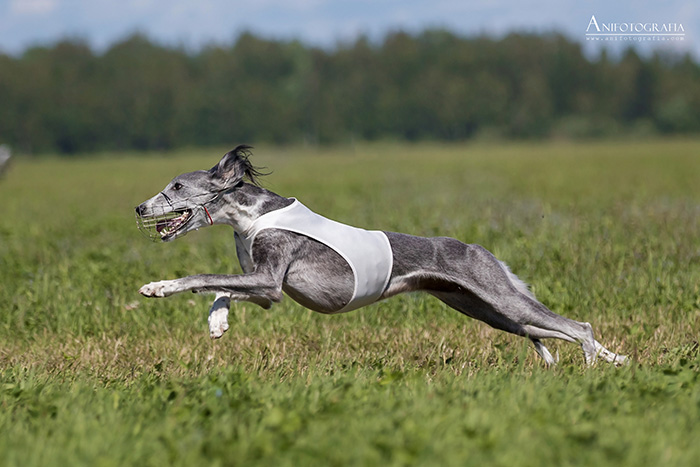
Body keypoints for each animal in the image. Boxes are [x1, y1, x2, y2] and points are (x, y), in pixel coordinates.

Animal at [134, 145, 628, 366]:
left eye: (177, 186)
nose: (139, 208)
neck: (252, 214)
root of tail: (477, 248)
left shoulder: (270, 278)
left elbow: (199, 277)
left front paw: (158, 286)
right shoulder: (267, 291)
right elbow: (221, 291)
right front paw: (218, 324)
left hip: (498, 297)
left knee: (577, 327)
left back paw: (592, 366)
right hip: (484, 309)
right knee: (545, 331)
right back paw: (615, 362)